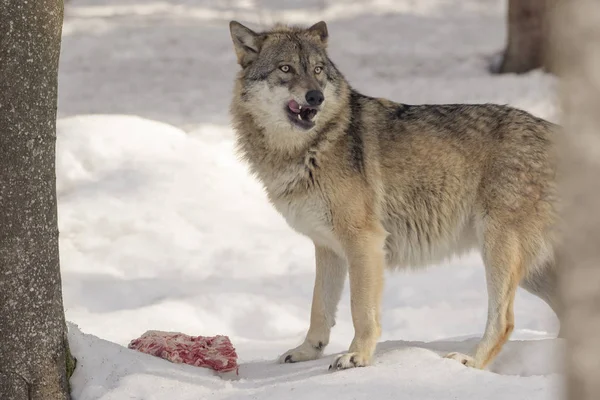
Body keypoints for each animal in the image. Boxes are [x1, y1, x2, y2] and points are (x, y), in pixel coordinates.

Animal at [227, 20, 560, 372]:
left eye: (317, 70)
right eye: (286, 68)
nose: (315, 97)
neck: (309, 149)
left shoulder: (365, 243)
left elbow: (361, 310)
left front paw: (357, 356)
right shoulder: (327, 248)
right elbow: (319, 308)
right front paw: (307, 352)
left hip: (499, 253)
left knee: (504, 320)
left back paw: (469, 361)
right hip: (532, 272)